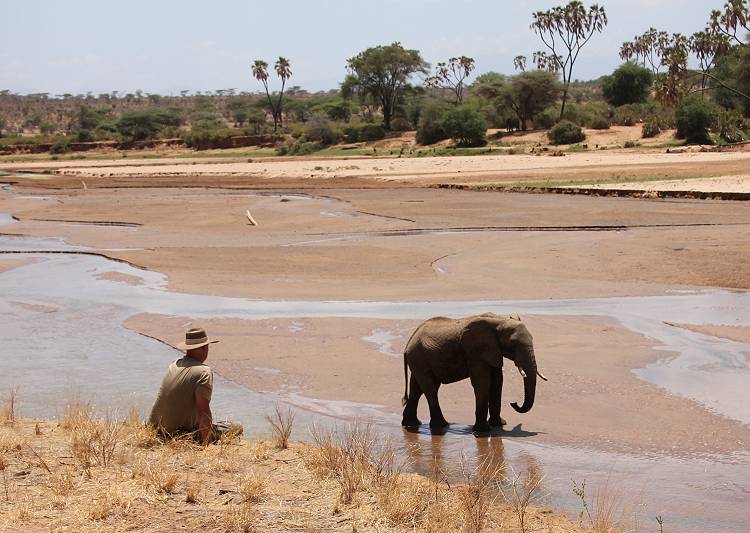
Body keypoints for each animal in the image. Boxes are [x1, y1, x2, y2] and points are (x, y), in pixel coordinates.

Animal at [402, 312, 548, 432]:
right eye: (513, 344)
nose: (514, 403)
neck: (500, 321)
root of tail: (408, 344)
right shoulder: (476, 352)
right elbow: (483, 382)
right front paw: (484, 430)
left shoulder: (493, 351)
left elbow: (497, 382)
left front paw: (499, 424)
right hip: (419, 358)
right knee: (430, 389)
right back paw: (442, 425)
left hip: (419, 361)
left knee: (417, 389)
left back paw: (411, 424)